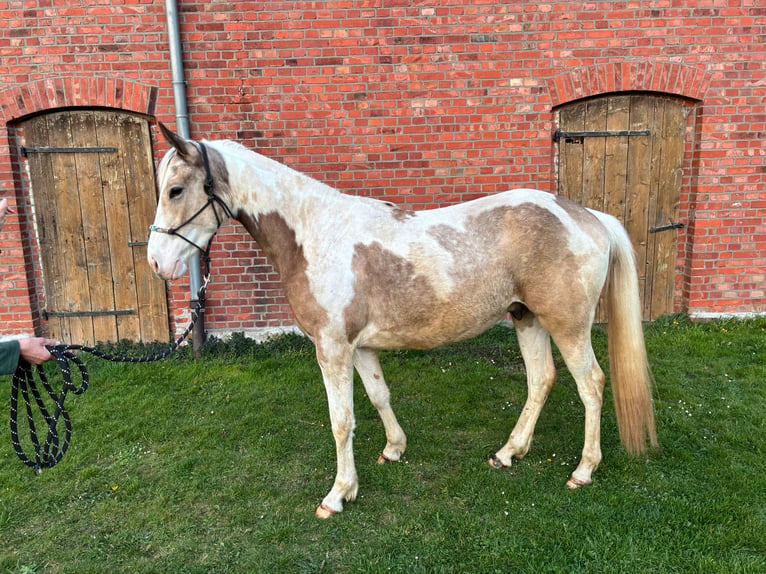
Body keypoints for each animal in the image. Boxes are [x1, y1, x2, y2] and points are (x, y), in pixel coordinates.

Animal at [147, 124, 658, 518]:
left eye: (176, 190)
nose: (157, 263)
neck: (314, 236)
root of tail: (589, 216)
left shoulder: (331, 348)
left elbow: (341, 420)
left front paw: (338, 494)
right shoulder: (360, 347)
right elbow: (378, 396)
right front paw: (394, 449)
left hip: (567, 327)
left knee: (591, 384)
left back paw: (583, 470)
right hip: (526, 318)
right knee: (541, 380)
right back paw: (508, 453)